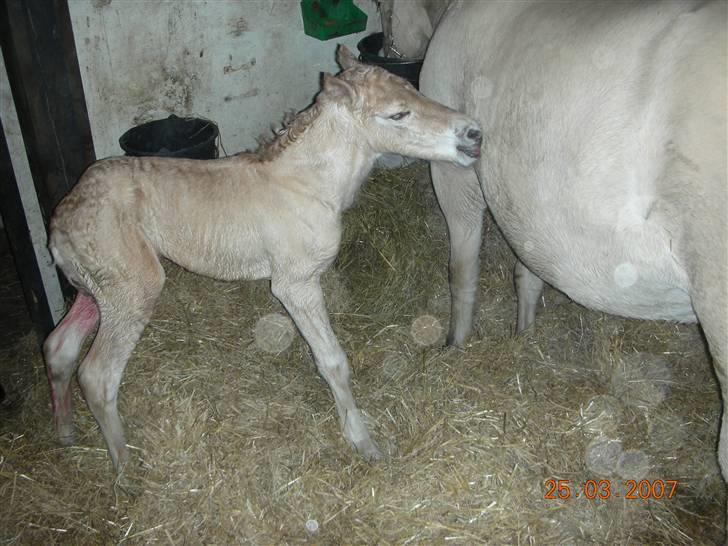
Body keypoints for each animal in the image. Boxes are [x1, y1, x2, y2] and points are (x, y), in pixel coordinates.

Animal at [41, 45, 484, 468]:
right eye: (397, 114)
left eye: (414, 90)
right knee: (96, 375)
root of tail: (60, 222)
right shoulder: (295, 283)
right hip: (133, 290)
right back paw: (124, 468)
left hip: (98, 291)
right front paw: (363, 443)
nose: (474, 134)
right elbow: (332, 361)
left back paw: (65, 434)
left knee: (58, 347)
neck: (308, 183)